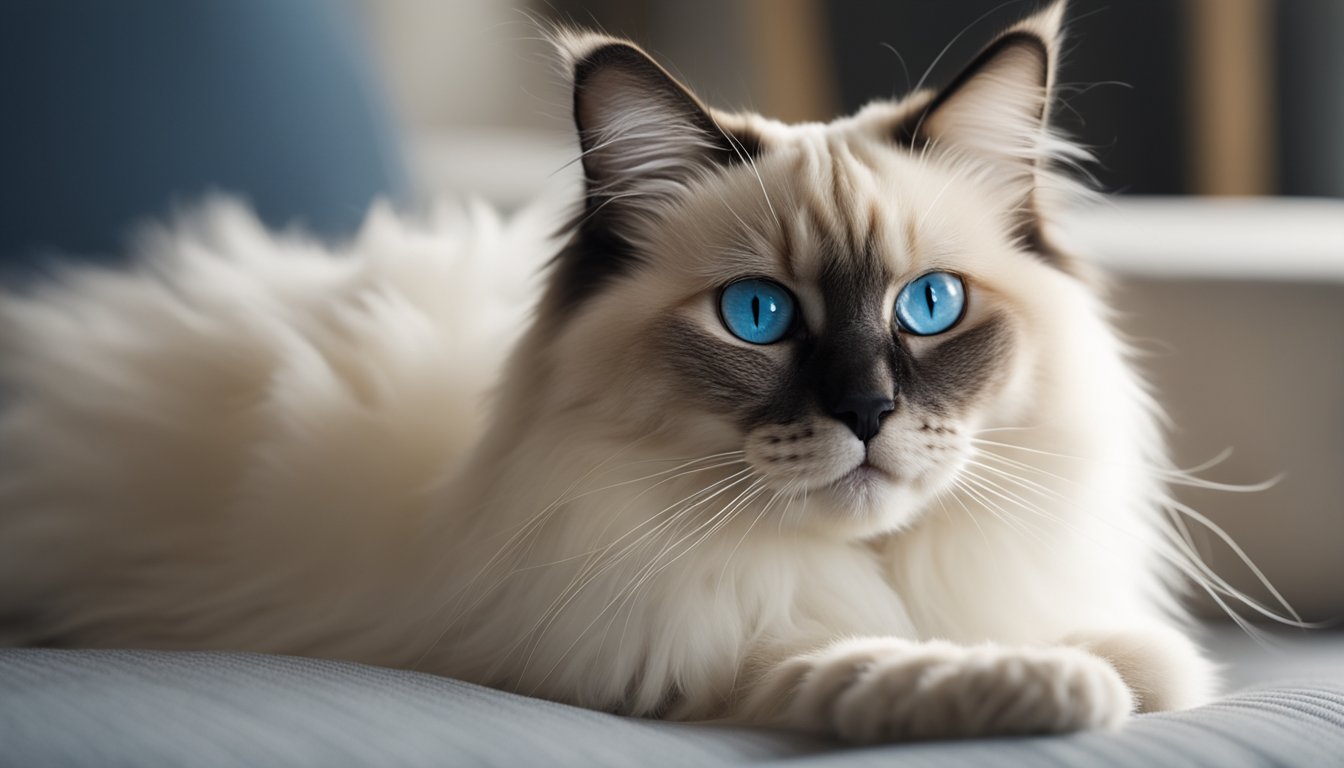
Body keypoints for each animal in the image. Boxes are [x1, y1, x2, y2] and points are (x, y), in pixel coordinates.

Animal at [0, 0, 1231, 747]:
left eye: (928, 307)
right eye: (758, 316)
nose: (870, 411)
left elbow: (1146, 657)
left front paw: (1126, 660)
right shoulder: (666, 654)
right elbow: (862, 664)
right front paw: (1063, 682)